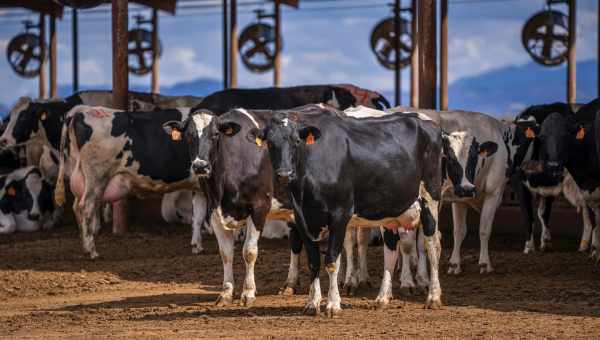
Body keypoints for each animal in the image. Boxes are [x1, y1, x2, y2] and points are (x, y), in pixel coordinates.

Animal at [54, 105, 209, 258]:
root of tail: (80, 113)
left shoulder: (200, 187)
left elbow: (198, 216)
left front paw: (197, 247)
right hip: (97, 178)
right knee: (86, 207)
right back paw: (92, 251)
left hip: (81, 178)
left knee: (76, 206)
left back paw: (85, 244)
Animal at [258, 107, 446, 316]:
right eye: (271, 143)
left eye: (296, 141)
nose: (284, 174)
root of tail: (428, 123)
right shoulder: (302, 218)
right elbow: (314, 262)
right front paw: (312, 303)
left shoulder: (340, 215)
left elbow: (332, 261)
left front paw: (333, 304)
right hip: (390, 209)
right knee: (391, 249)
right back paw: (382, 298)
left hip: (430, 199)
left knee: (432, 245)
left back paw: (433, 297)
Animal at [520, 99, 600, 262]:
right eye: (541, 136)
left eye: (565, 136)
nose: (554, 165)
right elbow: (533, 214)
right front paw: (536, 245)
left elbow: (541, 213)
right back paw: (584, 246)